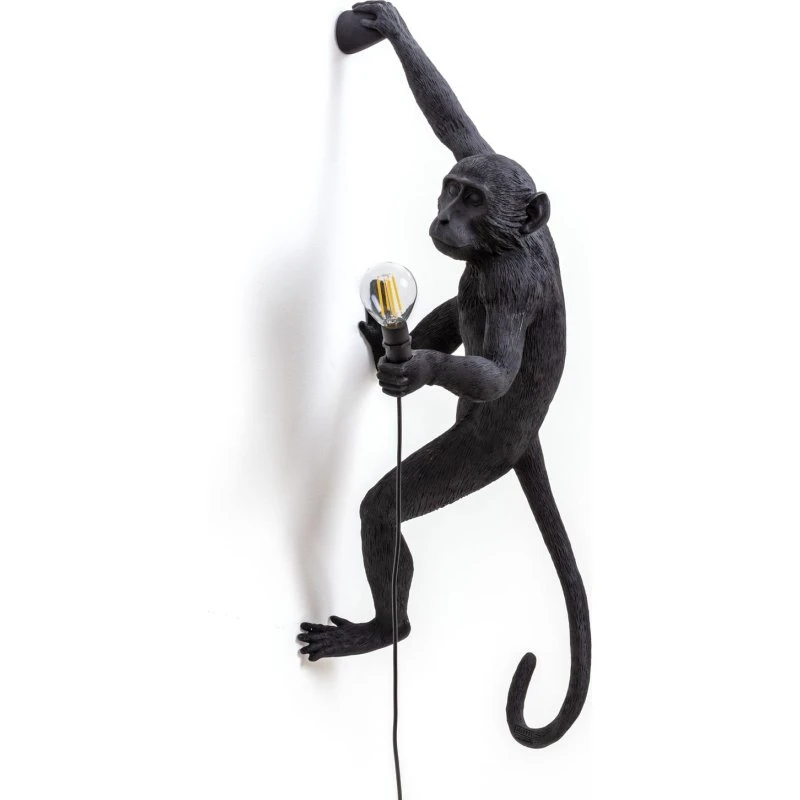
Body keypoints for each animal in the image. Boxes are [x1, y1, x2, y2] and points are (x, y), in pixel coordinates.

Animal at [298, 1, 590, 749]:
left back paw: (385, 630)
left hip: (482, 451)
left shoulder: (512, 286)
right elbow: (454, 120)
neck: (505, 245)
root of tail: (527, 439)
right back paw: (385, 342)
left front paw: (419, 368)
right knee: (453, 304)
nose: (444, 218)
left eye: (475, 202)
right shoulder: (477, 158)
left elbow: (498, 371)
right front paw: (387, 28)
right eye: (454, 188)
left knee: (383, 507)